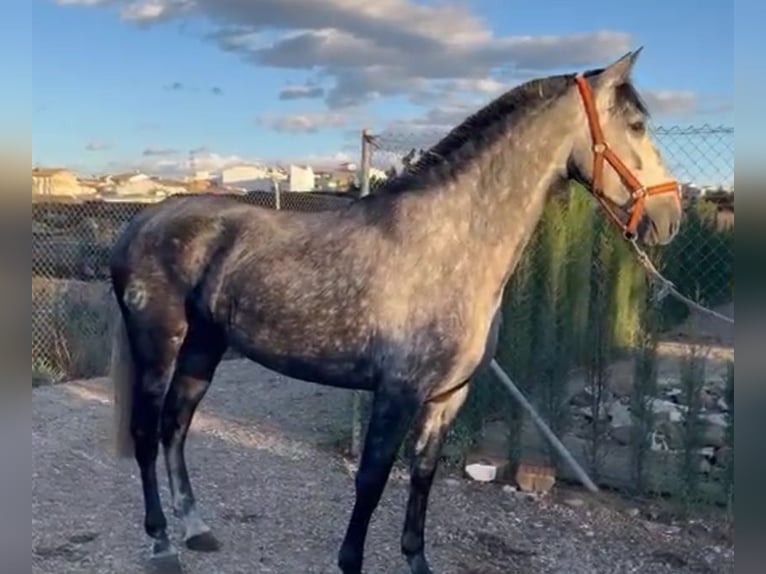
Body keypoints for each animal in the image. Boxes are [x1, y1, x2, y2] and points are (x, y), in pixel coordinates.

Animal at [108, 49, 684, 574]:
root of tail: (142, 222)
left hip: (204, 347)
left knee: (176, 427)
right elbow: (372, 480)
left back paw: (196, 529)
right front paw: (350, 562)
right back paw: (161, 543)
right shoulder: (396, 392)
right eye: (636, 125)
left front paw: (417, 559)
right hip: (159, 345)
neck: (451, 241)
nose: (669, 216)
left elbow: (422, 477)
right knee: (146, 432)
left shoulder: (447, 397)